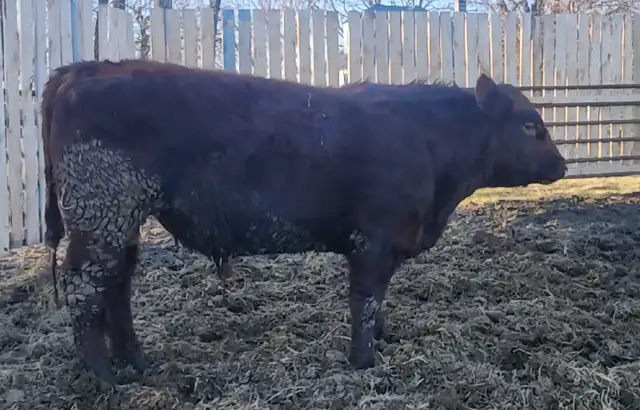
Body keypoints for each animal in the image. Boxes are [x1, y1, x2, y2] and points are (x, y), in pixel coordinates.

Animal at [42, 59, 566, 388]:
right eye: (529, 125)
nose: (562, 166)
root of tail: (89, 68)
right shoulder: (373, 241)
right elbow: (366, 300)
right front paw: (365, 361)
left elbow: (380, 301)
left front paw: (385, 340)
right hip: (101, 216)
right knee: (86, 290)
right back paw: (104, 379)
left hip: (120, 222)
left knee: (118, 286)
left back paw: (135, 362)